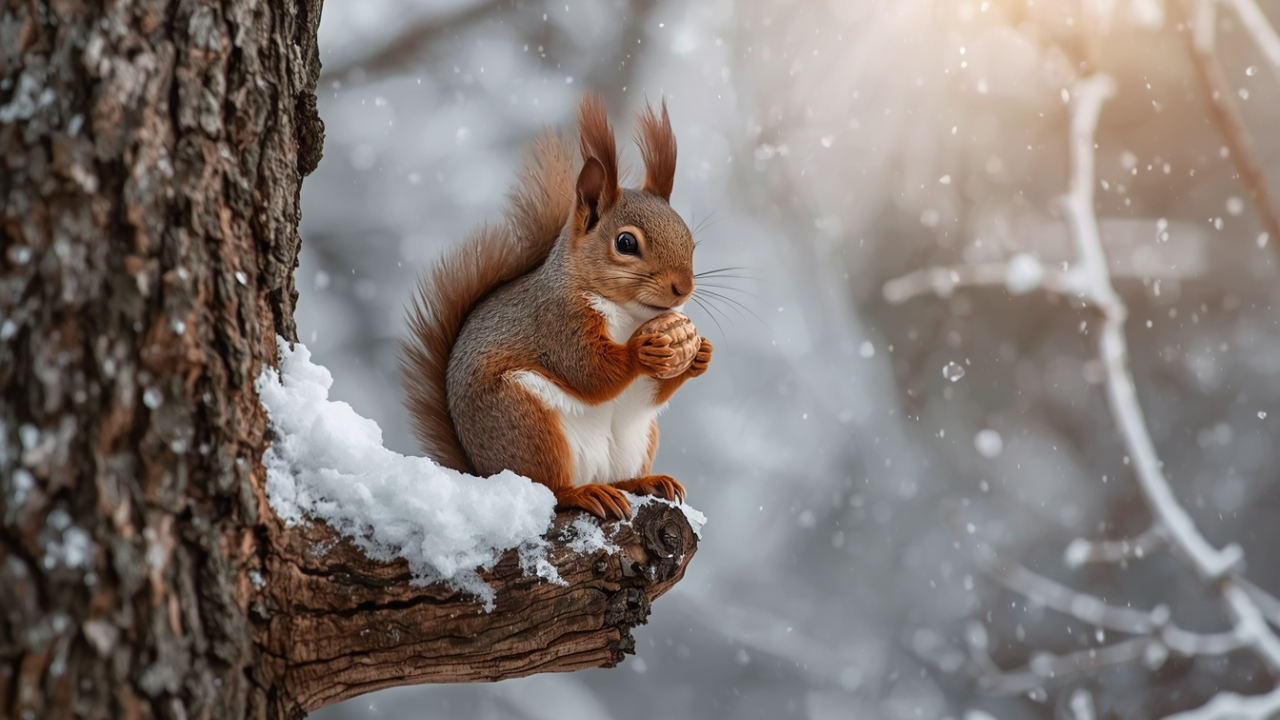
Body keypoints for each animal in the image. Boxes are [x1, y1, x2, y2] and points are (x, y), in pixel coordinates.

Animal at [400, 94, 712, 521]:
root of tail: (484, 473)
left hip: (637, 438)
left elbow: (651, 392)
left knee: (619, 476)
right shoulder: (558, 322)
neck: (630, 314)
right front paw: (639, 351)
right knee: (552, 489)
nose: (684, 288)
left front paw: (700, 354)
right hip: (527, 422)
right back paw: (584, 493)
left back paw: (644, 481)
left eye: (691, 242)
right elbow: (587, 369)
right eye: (626, 243)